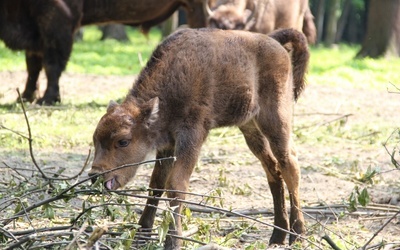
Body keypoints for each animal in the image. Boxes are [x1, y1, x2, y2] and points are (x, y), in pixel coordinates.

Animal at [90, 27, 310, 248]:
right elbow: (156, 185)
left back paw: (297, 234)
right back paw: (277, 235)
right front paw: (141, 236)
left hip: (276, 122)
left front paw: (173, 241)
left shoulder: (191, 137)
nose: (95, 175)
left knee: (290, 166)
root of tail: (274, 42)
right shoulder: (167, 146)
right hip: (250, 129)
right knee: (273, 169)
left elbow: (176, 185)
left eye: (123, 141)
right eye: (95, 140)